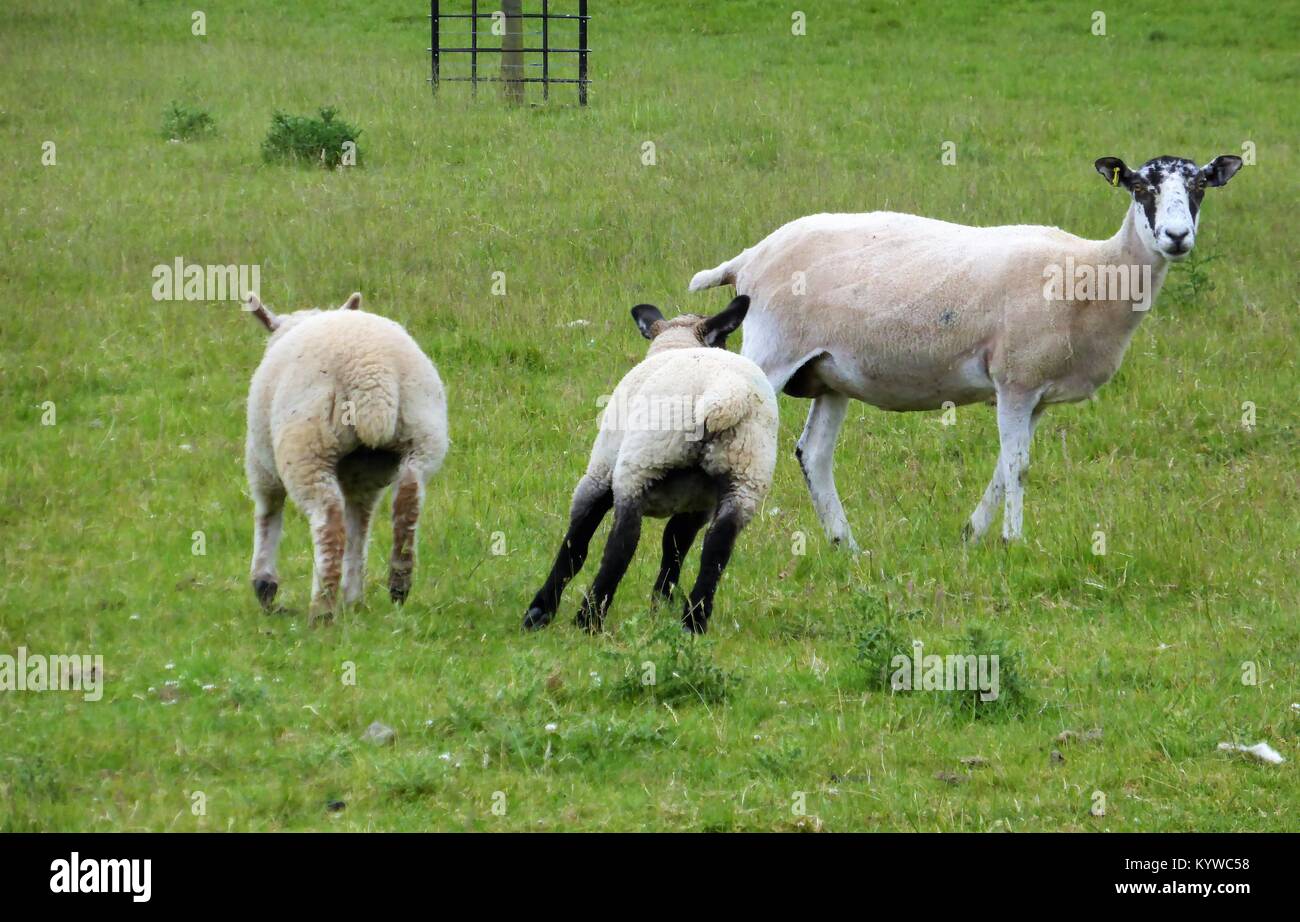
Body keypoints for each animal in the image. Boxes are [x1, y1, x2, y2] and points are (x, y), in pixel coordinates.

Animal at [243, 291, 447, 621]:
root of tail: (373, 377)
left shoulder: (260, 465)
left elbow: (268, 511)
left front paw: (264, 584)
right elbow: (359, 529)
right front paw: (354, 598)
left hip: (306, 447)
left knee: (329, 520)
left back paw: (322, 609)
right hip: (418, 438)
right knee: (404, 499)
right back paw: (395, 584)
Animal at [522, 295, 774, 632]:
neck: (676, 344)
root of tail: (726, 394)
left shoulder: (599, 473)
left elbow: (576, 544)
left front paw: (541, 610)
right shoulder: (696, 506)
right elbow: (674, 547)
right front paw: (662, 603)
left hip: (640, 465)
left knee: (622, 544)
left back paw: (588, 619)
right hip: (745, 477)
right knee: (717, 548)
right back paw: (693, 622)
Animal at [691, 153, 1248, 543]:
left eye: (1199, 185)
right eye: (1140, 187)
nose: (1176, 237)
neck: (1094, 275)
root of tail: (751, 256)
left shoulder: (1037, 395)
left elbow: (1005, 466)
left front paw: (973, 535)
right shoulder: (1016, 380)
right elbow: (1018, 466)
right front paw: (1013, 541)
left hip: (829, 373)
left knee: (814, 454)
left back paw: (845, 545)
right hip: (771, 349)